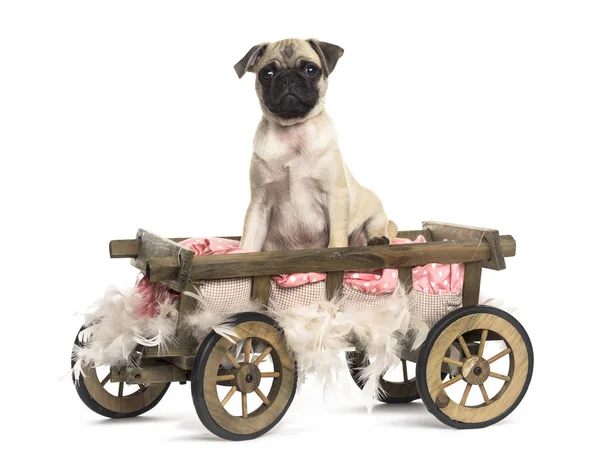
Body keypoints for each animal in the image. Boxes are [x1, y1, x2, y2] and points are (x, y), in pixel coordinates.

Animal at [236, 38, 398, 252]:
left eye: (311, 70)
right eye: (267, 74)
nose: (288, 77)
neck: (292, 131)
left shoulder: (335, 196)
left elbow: (337, 238)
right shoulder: (259, 204)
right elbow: (248, 242)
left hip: (376, 216)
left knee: (376, 230)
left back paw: (378, 240)